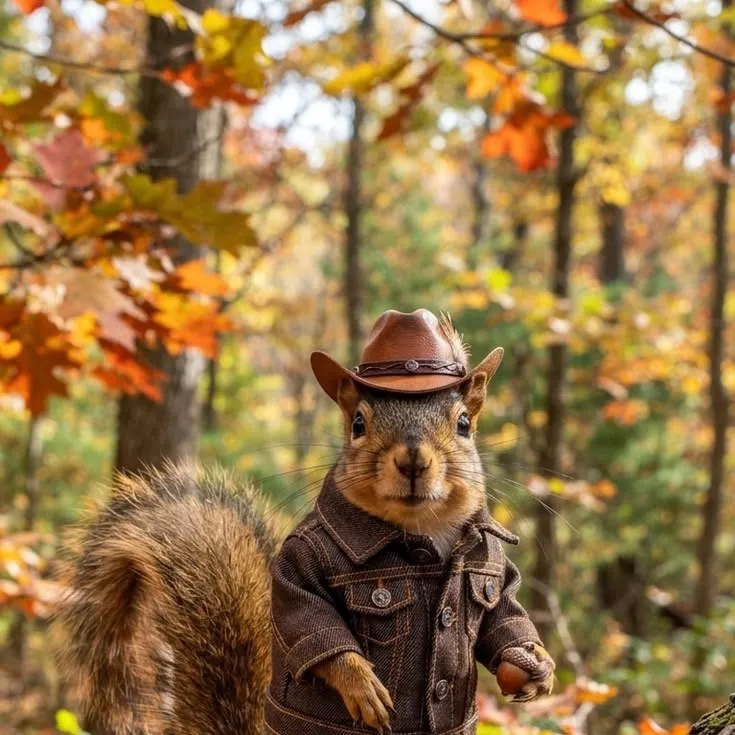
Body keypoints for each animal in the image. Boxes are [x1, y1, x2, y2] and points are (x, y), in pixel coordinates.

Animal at [55, 309, 554, 735]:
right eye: (357, 423)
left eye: (465, 423)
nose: (412, 459)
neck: (420, 534)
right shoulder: (300, 561)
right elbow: (309, 619)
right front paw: (361, 685)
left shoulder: (491, 561)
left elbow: (502, 613)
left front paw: (532, 660)